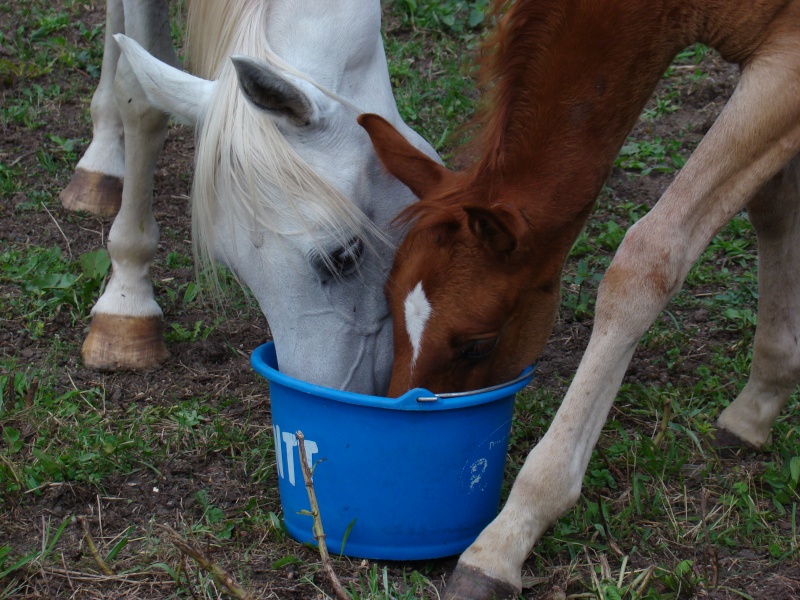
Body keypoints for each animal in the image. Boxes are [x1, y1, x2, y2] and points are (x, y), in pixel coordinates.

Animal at [358, 0, 800, 596]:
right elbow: (773, 203)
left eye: (478, 345)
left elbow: (647, 258)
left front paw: (505, 539)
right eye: (390, 310)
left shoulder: (785, 58)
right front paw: (761, 400)